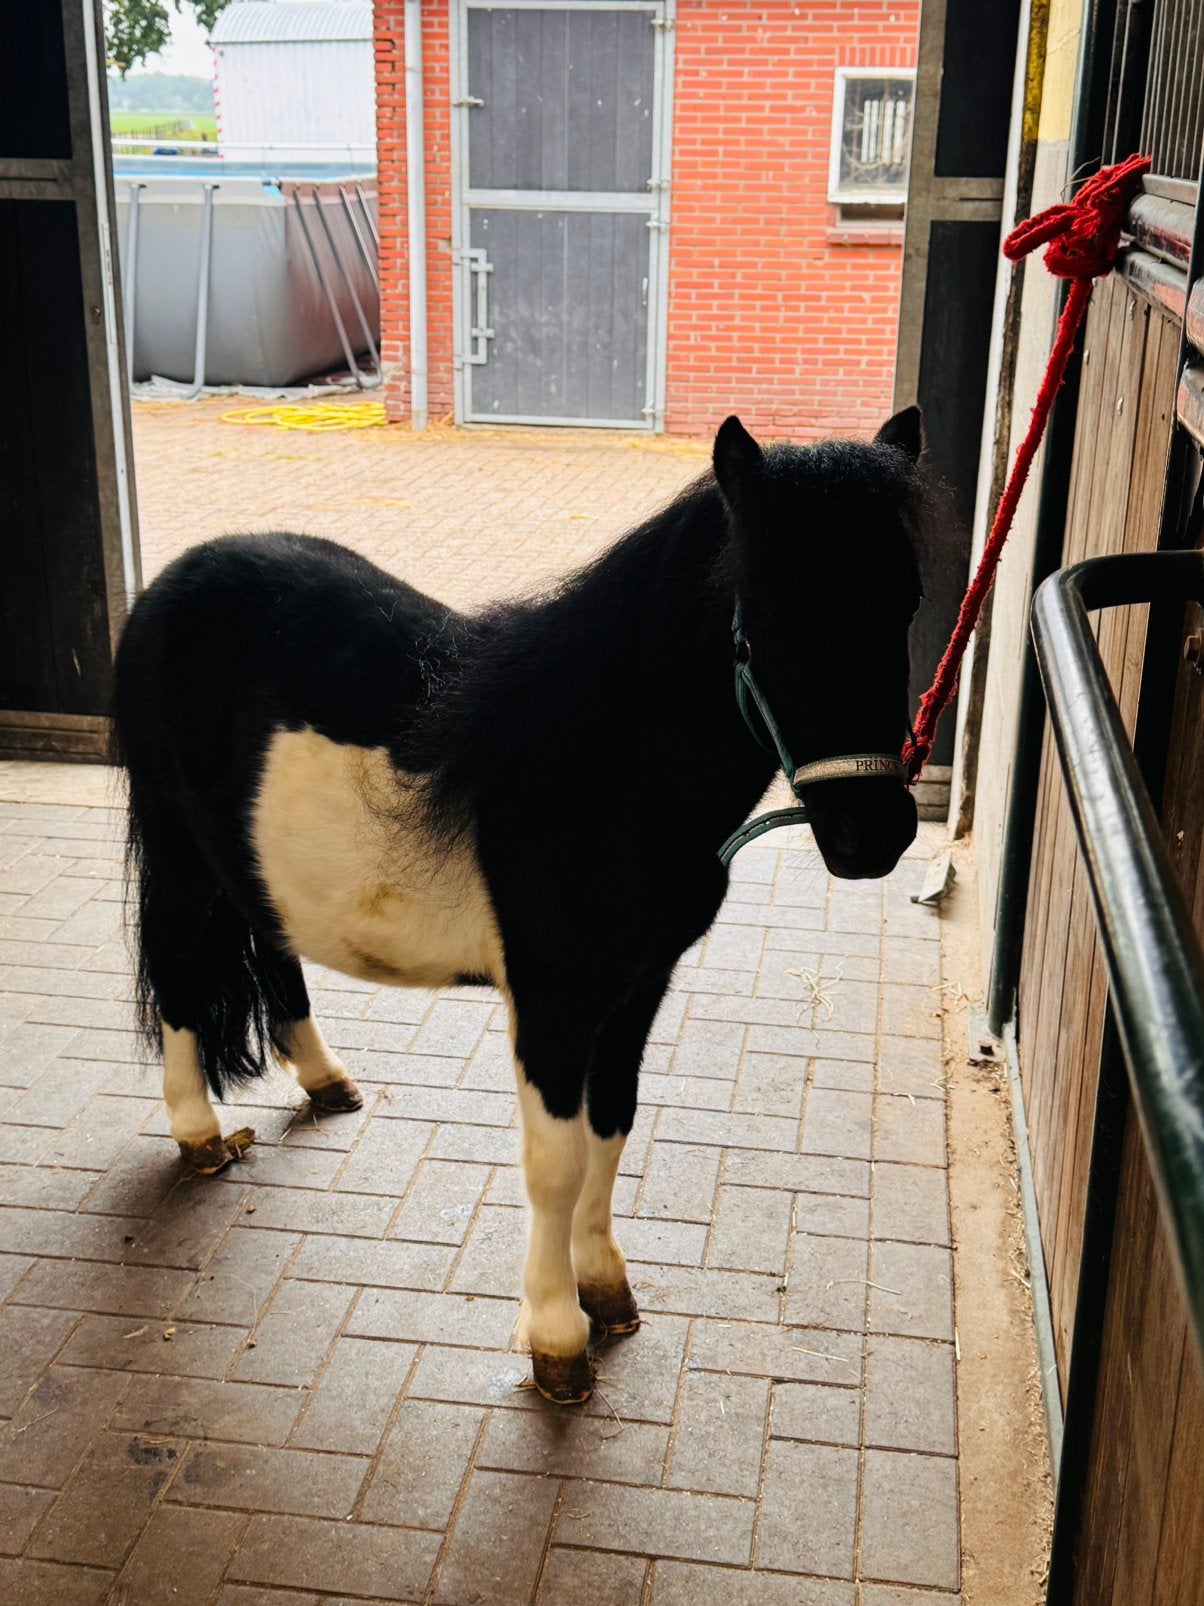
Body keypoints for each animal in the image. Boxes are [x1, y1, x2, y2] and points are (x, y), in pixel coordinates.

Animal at [111, 409, 931, 1404]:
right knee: (179, 972)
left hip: (247, 861)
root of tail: (175, 582)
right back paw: (198, 1135)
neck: (599, 773)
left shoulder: (636, 995)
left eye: (907, 603)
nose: (872, 835)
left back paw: (325, 1081)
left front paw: (605, 1289)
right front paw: (556, 1339)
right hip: (179, 856)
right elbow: (556, 1163)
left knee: (272, 949)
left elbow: (609, 1133)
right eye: (764, 617)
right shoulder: (552, 1006)